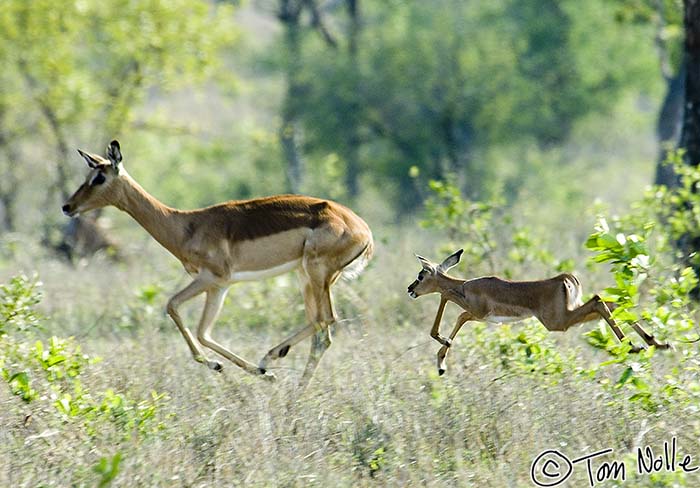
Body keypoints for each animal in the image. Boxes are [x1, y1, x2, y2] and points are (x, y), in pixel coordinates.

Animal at [63, 140, 374, 386]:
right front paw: (236, 369)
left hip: (316, 273)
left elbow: (172, 306)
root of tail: (364, 231)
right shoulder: (219, 287)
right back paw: (292, 391)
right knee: (322, 332)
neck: (186, 225)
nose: (67, 206)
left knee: (326, 320)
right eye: (88, 173)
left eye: (99, 177)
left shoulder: (211, 278)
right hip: (307, 277)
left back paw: (269, 359)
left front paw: (241, 369)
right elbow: (203, 332)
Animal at [408, 250, 668, 376]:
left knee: (598, 300)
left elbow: (449, 301)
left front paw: (442, 347)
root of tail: (565, 279)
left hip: (558, 322)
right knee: (611, 302)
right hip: (570, 313)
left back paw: (633, 346)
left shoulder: (477, 312)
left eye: (421, 275)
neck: (465, 285)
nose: (410, 289)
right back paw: (655, 343)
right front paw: (442, 361)